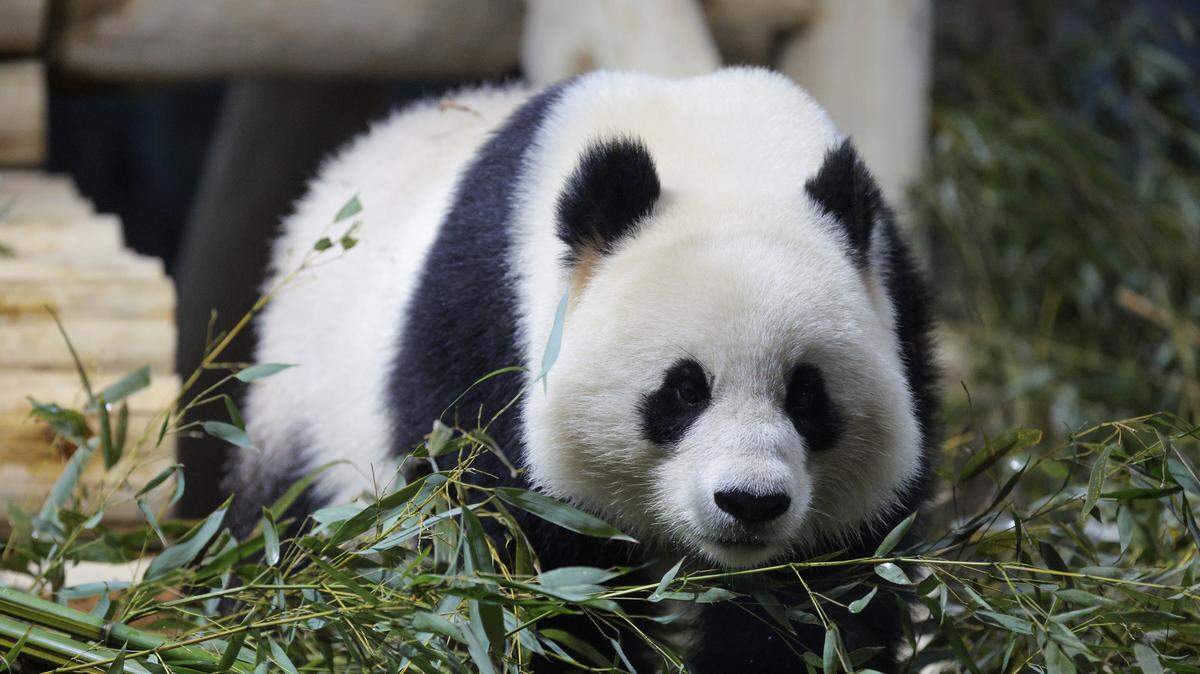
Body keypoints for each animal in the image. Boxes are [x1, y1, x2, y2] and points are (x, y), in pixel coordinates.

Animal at [227, 67, 938, 672]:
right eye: (683, 390)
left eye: (806, 395)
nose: (750, 501)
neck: (718, 158)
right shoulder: (489, 335)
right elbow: (513, 568)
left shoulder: (900, 312)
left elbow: (825, 598)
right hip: (305, 422)